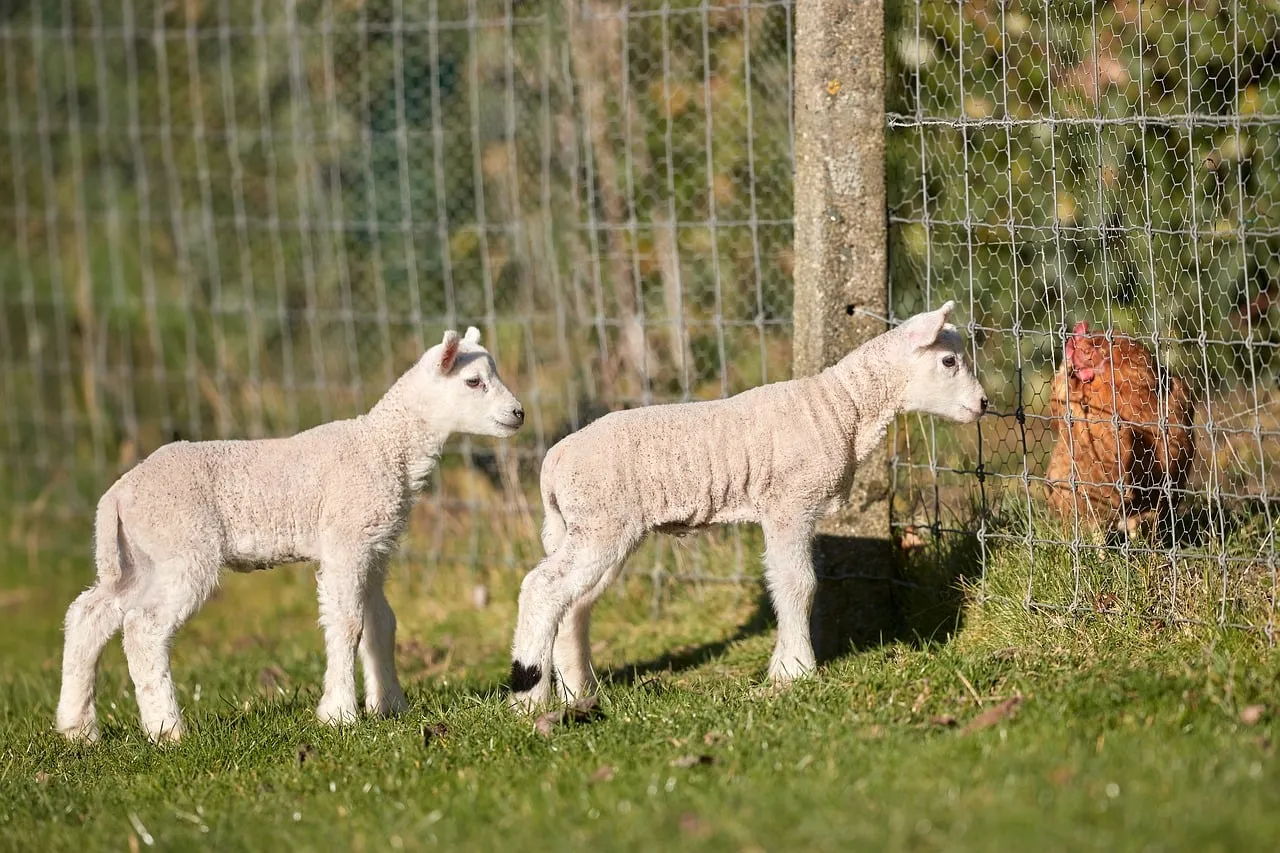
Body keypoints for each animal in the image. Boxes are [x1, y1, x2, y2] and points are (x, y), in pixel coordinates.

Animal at [56, 327, 524, 743]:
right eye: (474, 381)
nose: (518, 412)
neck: (384, 446)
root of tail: (117, 495)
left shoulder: (374, 545)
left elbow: (381, 623)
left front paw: (391, 706)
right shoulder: (345, 540)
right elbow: (347, 622)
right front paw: (339, 715)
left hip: (139, 556)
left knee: (89, 615)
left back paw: (78, 730)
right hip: (182, 546)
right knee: (144, 629)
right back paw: (167, 731)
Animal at [508, 302, 987, 711]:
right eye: (949, 362)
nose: (984, 403)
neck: (843, 408)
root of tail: (554, 462)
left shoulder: (785, 508)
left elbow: (785, 582)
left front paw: (785, 668)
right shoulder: (790, 503)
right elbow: (798, 584)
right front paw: (795, 672)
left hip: (589, 527)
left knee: (573, 605)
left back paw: (578, 695)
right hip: (601, 520)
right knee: (542, 587)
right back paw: (528, 697)